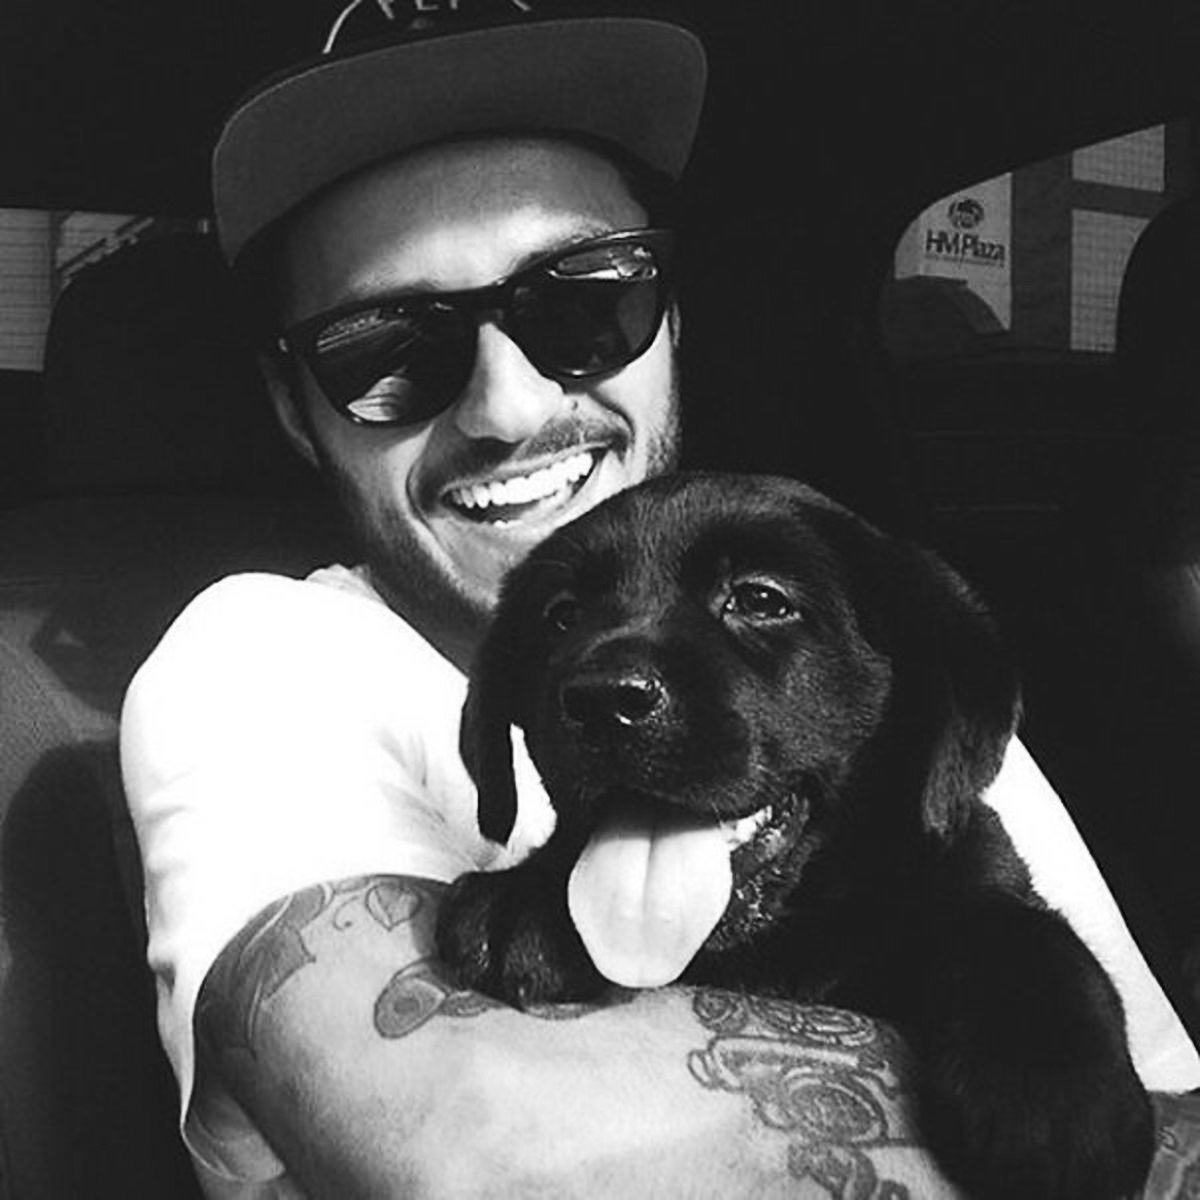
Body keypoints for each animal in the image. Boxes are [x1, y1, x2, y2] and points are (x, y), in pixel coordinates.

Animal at [436, 471, 1154, 1199]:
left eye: (759, 599)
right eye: (561, 616)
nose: (604, 698)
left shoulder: (979, 872)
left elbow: (1028, 932)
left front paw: (1053, 1088)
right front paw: (525, 901)